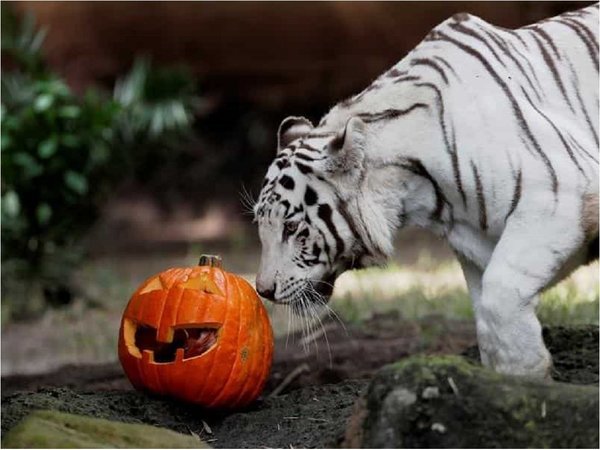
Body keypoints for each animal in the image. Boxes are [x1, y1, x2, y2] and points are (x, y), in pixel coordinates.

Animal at [252, 3, 596, 378]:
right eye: (261, 225)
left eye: (291, 227)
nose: (263, 290)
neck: (425, 196)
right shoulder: (478, 246)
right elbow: (487, 316)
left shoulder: (559, 194)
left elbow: (499, 295)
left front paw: (525, 378)